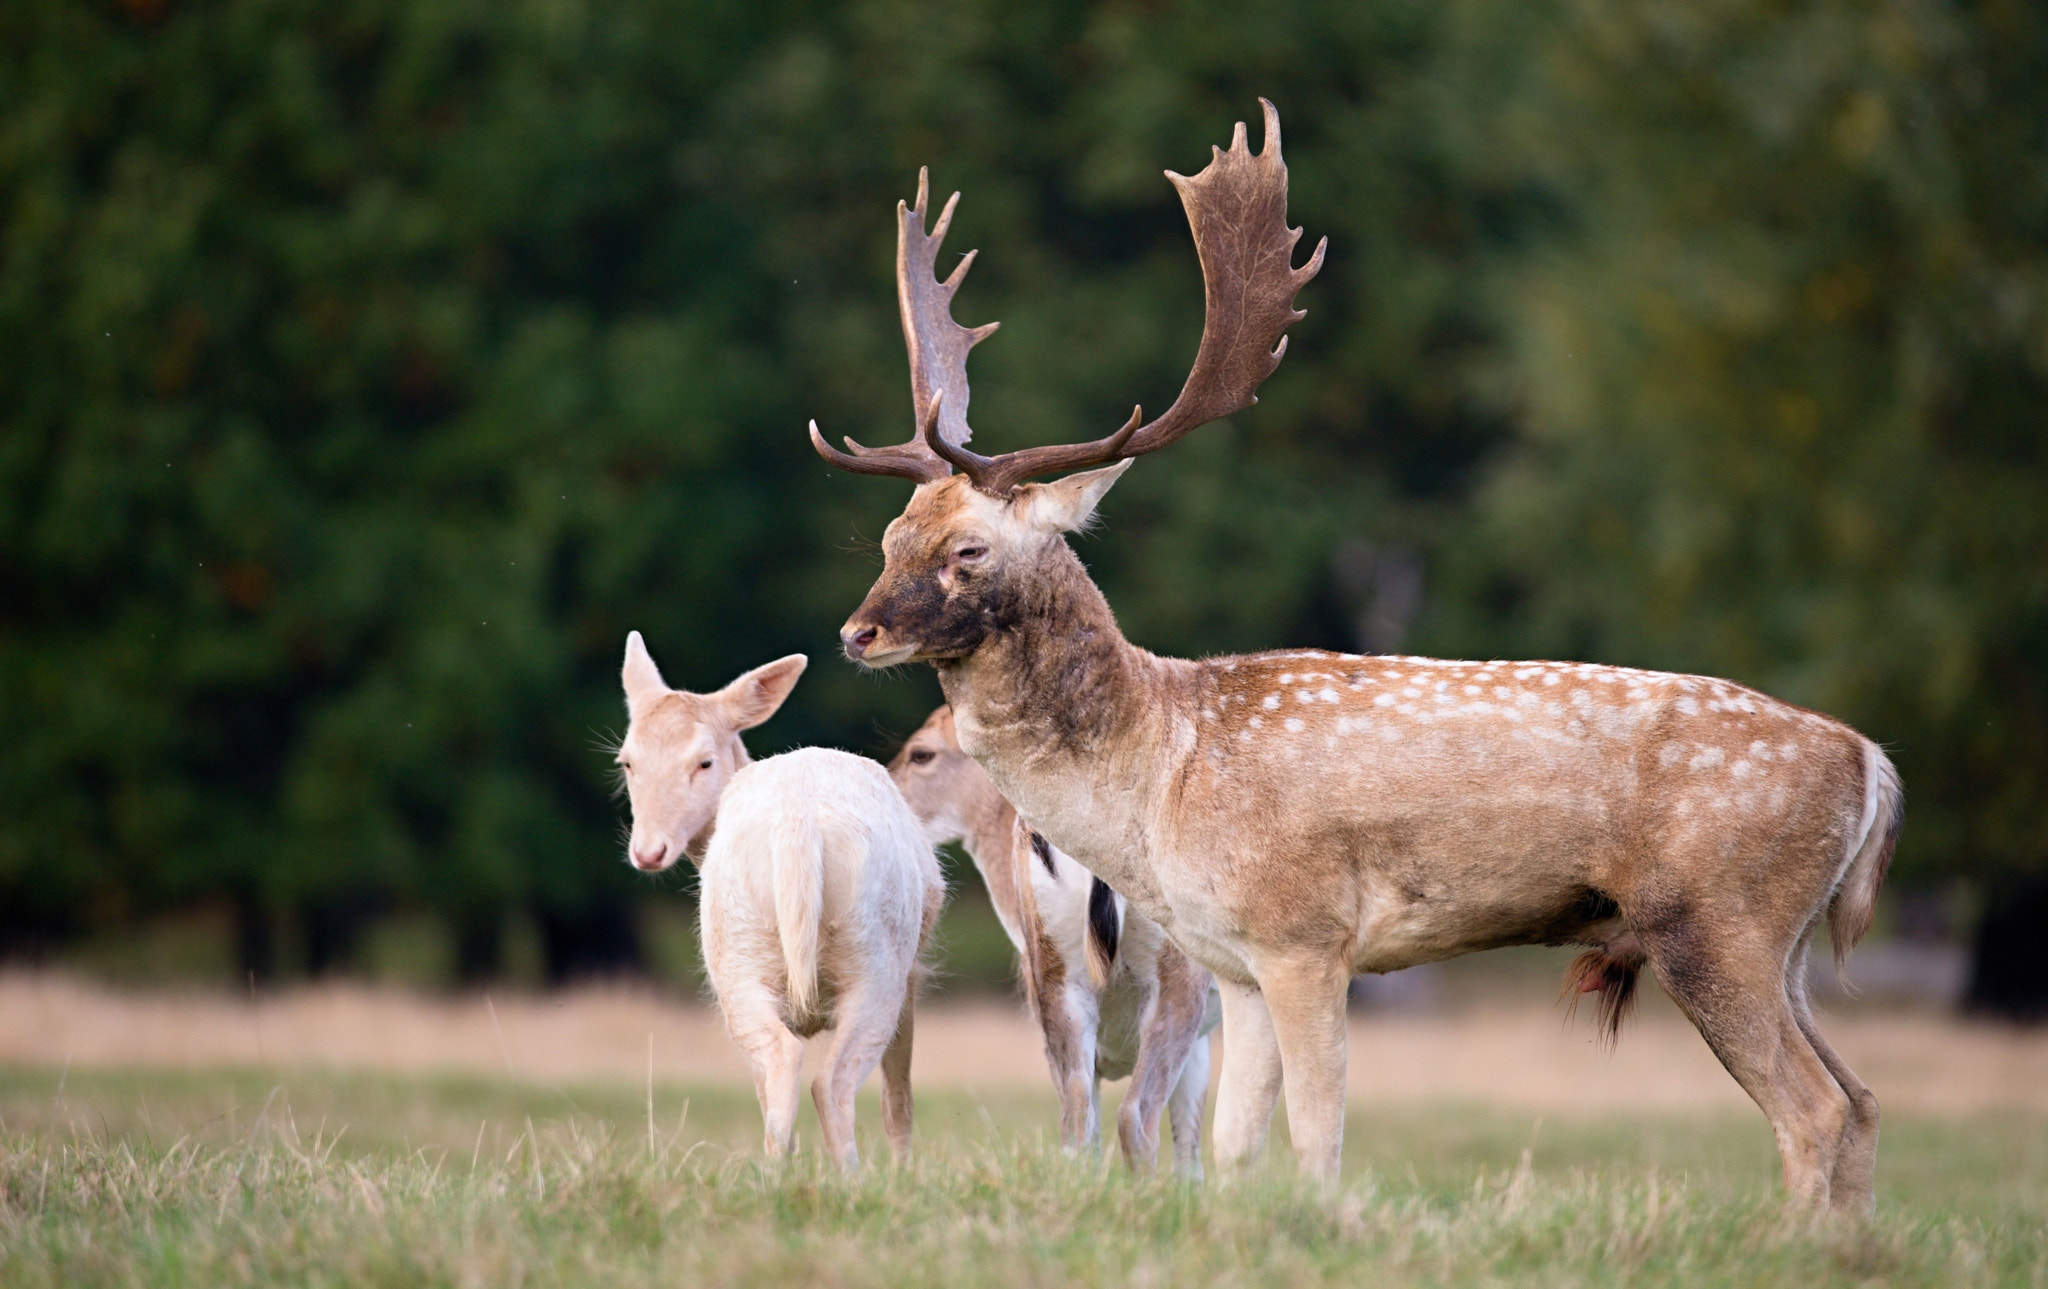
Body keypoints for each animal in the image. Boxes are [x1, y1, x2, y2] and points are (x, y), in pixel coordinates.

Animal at [614, 631, 942, 1163]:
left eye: (703, 761)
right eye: (627, 762)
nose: (647, 851)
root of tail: (798, 825)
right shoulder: (914, 970)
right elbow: (899, 1099)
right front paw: (902, 1172)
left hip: (740, 953)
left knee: (785, 1067)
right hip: (876, 956)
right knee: (827, 1081)